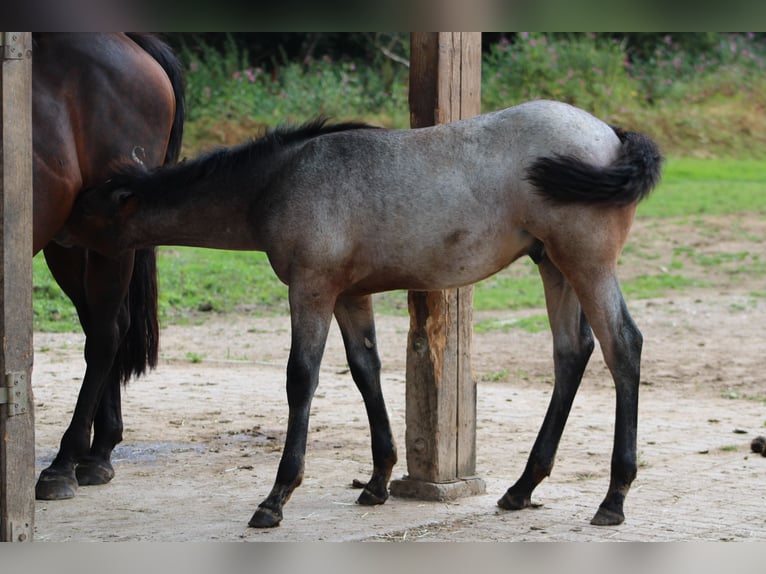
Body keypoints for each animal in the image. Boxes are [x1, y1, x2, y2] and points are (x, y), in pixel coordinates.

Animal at [33, 35, 186, 504]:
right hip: (67, 242)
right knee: (103, 326)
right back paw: (99, 450)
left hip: (107, 242)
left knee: (105, 333)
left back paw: (67, 462)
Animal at [60, 100, 664, 532]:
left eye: (87, 207)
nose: (56, 232)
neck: (279, 180)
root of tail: (612, 135)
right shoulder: (350, 295)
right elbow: (365, 371)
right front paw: (377, 482)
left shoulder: (312, 289)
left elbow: (300, 379)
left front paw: (276, 497)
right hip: (553, 265)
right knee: (572, 353)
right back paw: (522, 488)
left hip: (585, 263)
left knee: (623, 346)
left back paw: (613, 498)